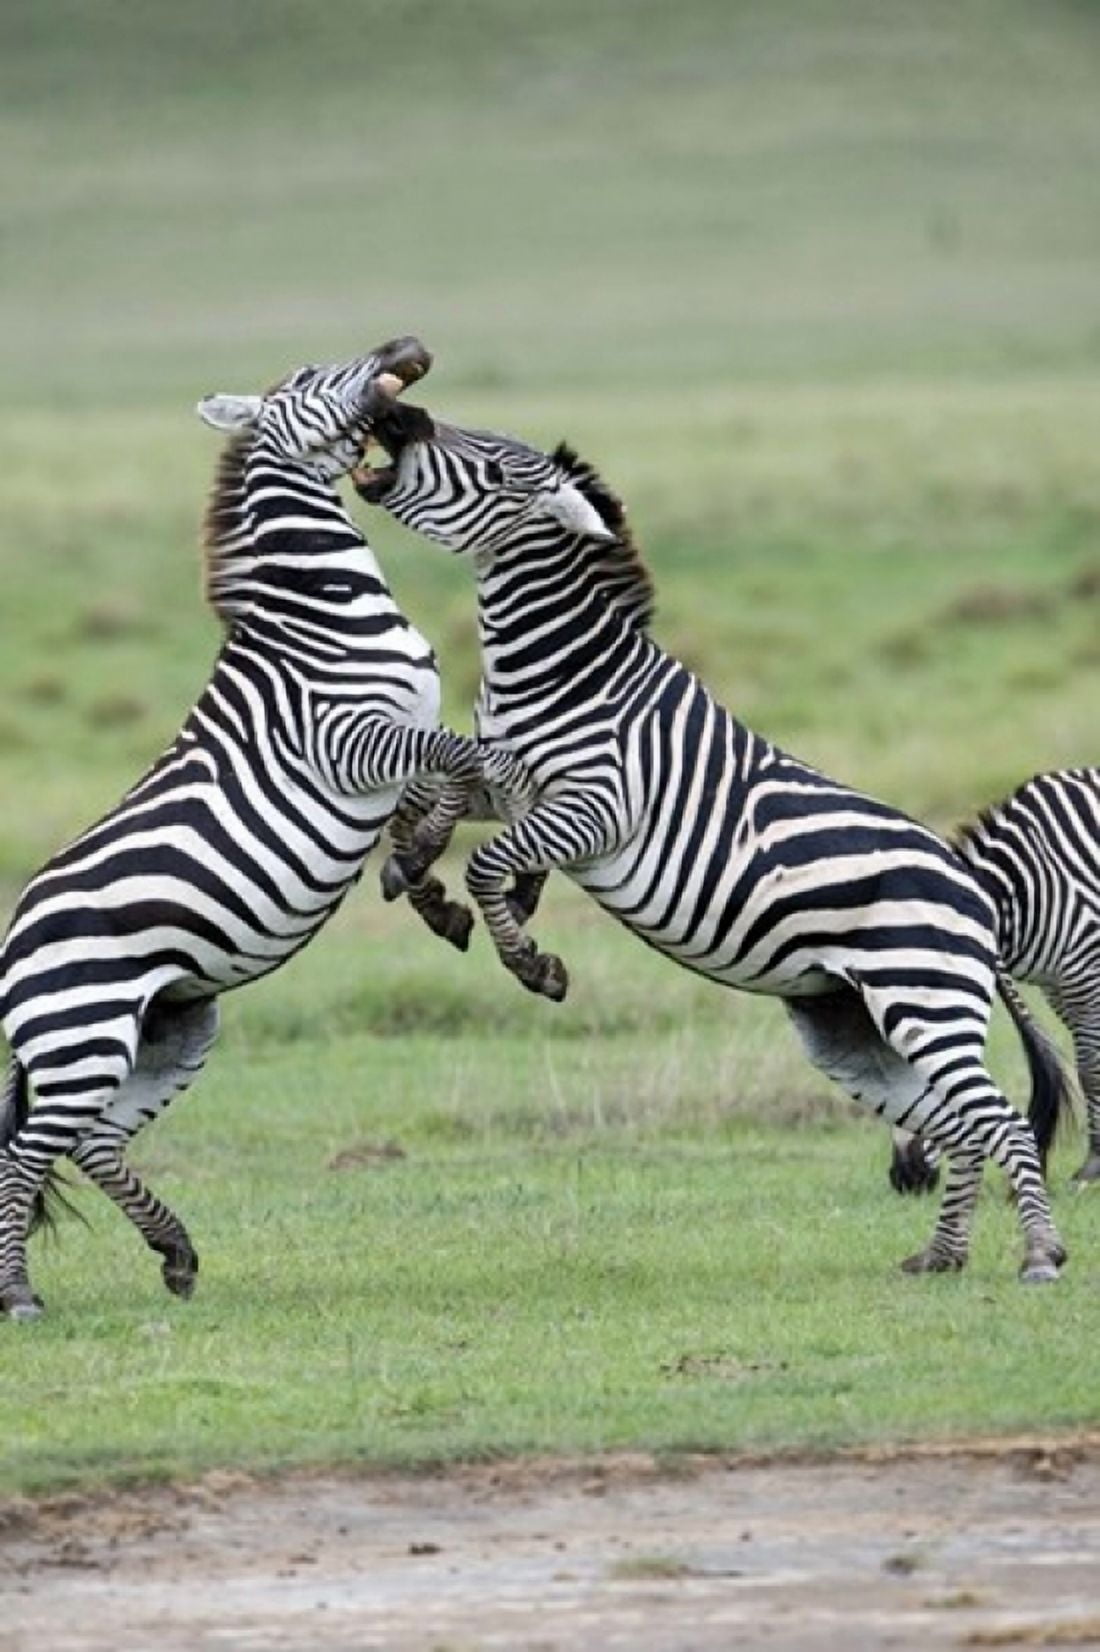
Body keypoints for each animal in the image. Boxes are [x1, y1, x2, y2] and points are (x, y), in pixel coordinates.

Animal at [0, 337, 485, 1322]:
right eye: (306, 380)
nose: (405, 347)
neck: (324, 606)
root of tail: (13, 936)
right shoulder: (349, 739)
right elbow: (458, 761)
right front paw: (422, 866)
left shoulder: (392, 745)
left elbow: (432, 793)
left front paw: (425, 887)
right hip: (82, 1032)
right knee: (26, 1155)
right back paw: (20, 1295)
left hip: (174, 1027)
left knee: (91, 1143)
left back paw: (176, 1253)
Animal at [354, 397, 1070, 1285]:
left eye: (488, 464)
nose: (396, 413)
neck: (554, 672)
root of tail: (977, 897)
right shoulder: (510, 781)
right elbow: (431, 794)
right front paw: (420, 876)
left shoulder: (598, 807)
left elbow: (488, 860)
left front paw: (530, 960)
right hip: (850, 1028)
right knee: (962, 1124)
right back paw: (939, 1256)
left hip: (920, 994)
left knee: (1001, 1118)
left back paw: (1039, 1254)